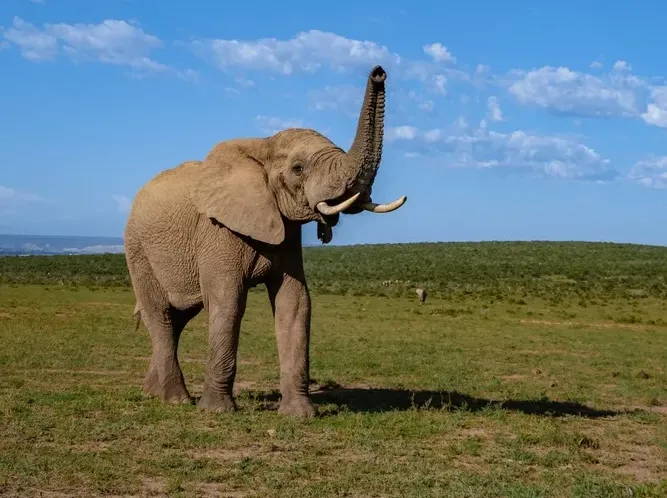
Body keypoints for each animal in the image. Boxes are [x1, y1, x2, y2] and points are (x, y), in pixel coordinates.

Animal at [123, 65, 407, 417]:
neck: (262, 145)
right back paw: (175, 400)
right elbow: (228, 302)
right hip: (137, 248)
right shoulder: (218, 231)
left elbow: (295, 303)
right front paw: (217, 411)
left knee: (177, 318)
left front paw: (300, 415)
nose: (379, 72)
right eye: (298, 169)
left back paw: (153, 393)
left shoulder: (286, 231)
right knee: (160, 315)